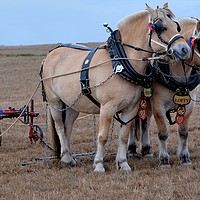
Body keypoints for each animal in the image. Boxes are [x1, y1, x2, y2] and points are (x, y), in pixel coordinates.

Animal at [40, 3, 191, 173]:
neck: (120, 62)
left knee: (67, 127)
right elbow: (103, 136)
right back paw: (66, 158)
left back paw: (70, 158)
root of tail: (51, 53)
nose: (185, 49)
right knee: (60, 126)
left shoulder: (131, 108)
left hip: (72, 104)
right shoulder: (107, 107)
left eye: (177, 26)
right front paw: (99, 164)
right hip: (55, 103)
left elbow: (123, 136)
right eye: (161, 27)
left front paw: (123, 163)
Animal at [128, 18, 200, 166]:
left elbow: (183, 132)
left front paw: (184, 157)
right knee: (132, 124)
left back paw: (147, 150)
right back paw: (132, 150)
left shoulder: (189, 106)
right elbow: (163, 133)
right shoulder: (159, 106)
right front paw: (164, 159)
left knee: (145, 123)